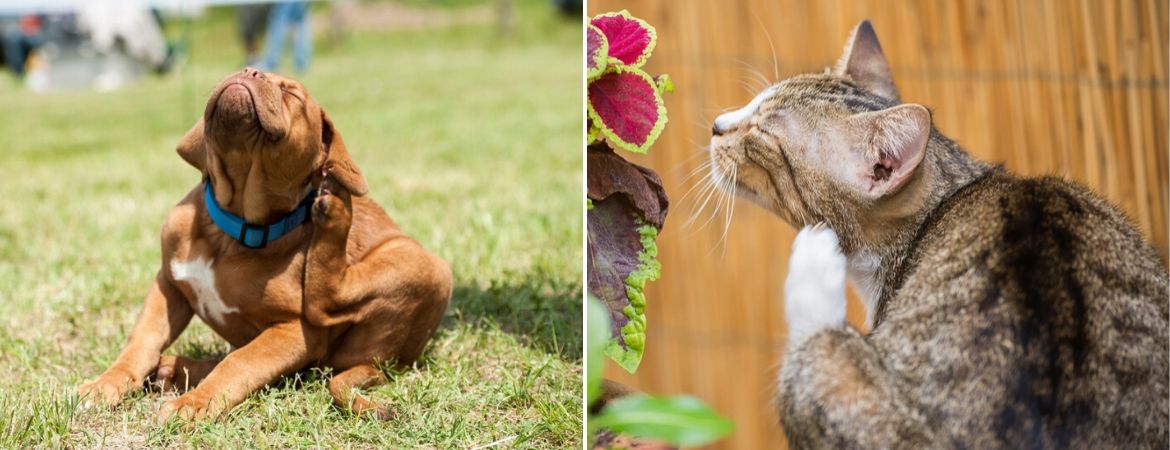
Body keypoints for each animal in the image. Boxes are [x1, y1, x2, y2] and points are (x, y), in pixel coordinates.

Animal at [78, 67, 451, 420]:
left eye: (292, 94)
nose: (249, 71)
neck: (232, 229)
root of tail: (384, 363)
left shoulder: (295, 331)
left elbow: (241, 363)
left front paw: (194, 404)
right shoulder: (168, 285)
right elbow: (141, 341)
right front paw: (106, 383)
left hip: (427, 267)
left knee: (325, 303)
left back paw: (336, 210)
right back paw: (173, 369)